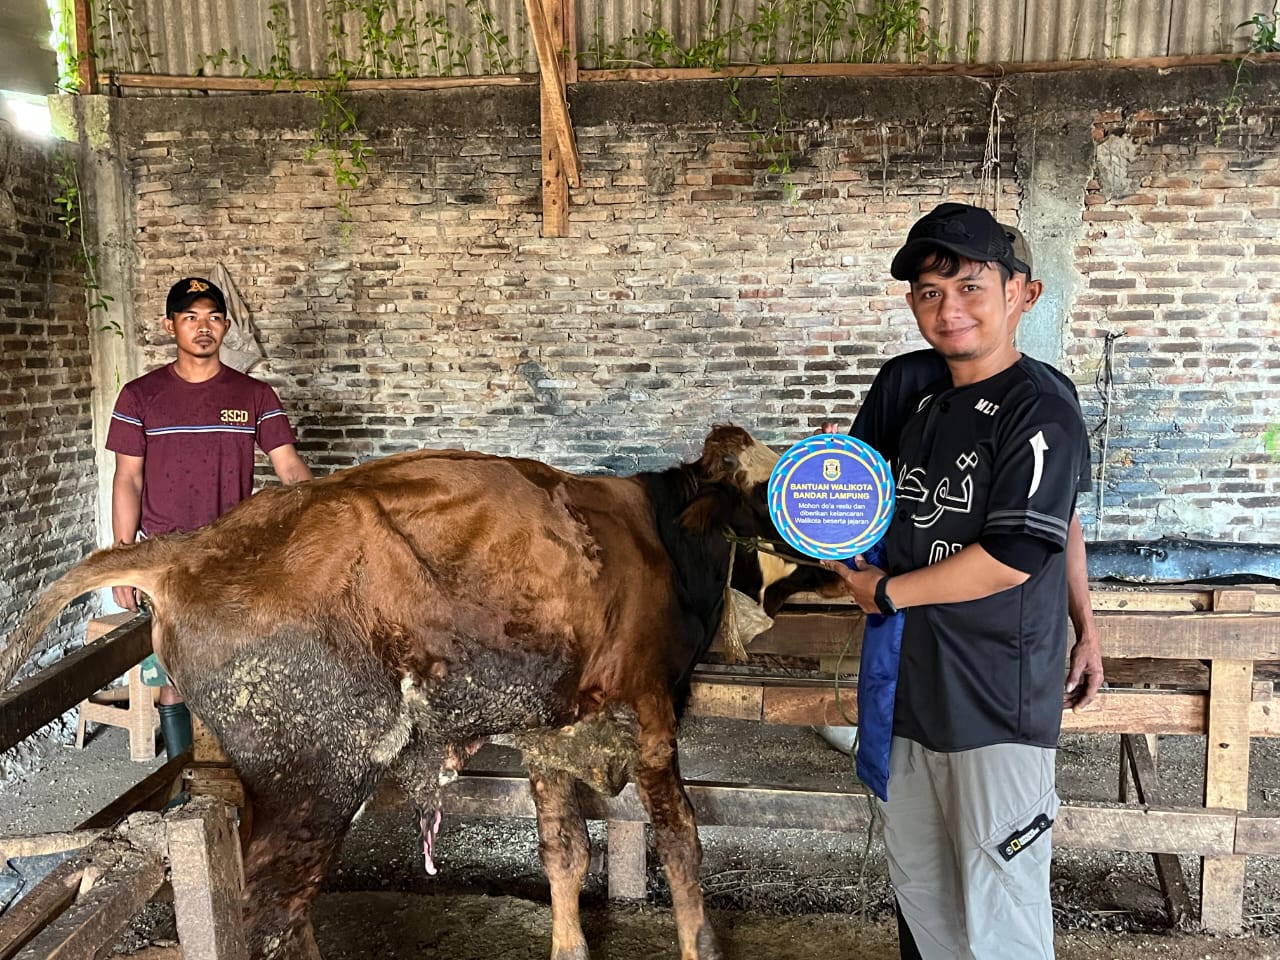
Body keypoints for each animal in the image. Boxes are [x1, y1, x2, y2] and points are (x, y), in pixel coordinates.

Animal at [1, 425, 834, 960]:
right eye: (765, 492)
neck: (663, 539)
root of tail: (190, 549)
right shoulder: (652, 709)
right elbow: (683, 845)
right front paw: (702, 942)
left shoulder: (551, 728)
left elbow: (563, 852)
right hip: (318, 780)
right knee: (266, 914)